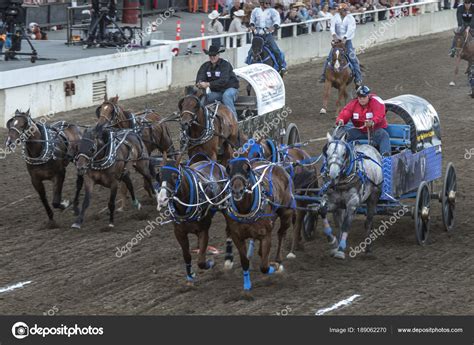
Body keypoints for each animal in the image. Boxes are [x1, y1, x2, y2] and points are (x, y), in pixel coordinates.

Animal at [224, 158, 294, 290]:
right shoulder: (237, 237)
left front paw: (274, 267)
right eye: (229, 169)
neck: (245, 211)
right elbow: (245, 262)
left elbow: (265, 267)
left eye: (247, 169)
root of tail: (275, 165)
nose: (237, 191)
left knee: (281, 234)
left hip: (286, 213)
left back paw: (278, 261)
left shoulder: (266, 235)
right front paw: (247, 285)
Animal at [320, 126, 384, 258]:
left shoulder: (353, 203)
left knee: (368, 221)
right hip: (341, 206)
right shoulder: (333, 202)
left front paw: (340, 249)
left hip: (373, 197)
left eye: (344, 153)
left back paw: (368, 247)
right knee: (340, 221)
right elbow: (322, 211)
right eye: (327, 153)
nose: (333, 174)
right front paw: (332, 241)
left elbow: (346, 225)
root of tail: (371, 147)